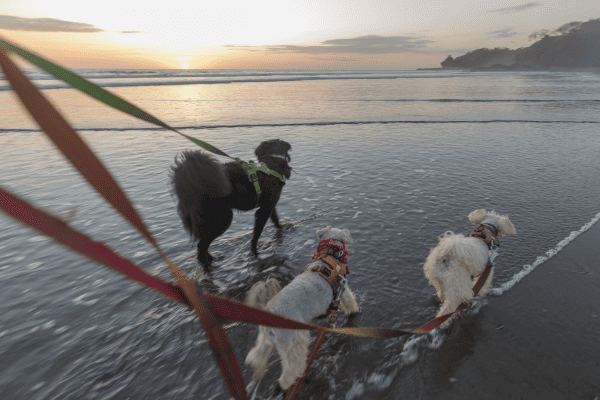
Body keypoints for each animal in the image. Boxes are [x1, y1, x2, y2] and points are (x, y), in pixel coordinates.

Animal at [245, 225, 360, 394]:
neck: (328, 256)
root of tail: (268, 311)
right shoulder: (342, 290)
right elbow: (350, 301)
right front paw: (354, 311)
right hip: (293, 341)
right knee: (289, 369)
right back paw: (289, 383)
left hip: (266, 341)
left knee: (256, 355)